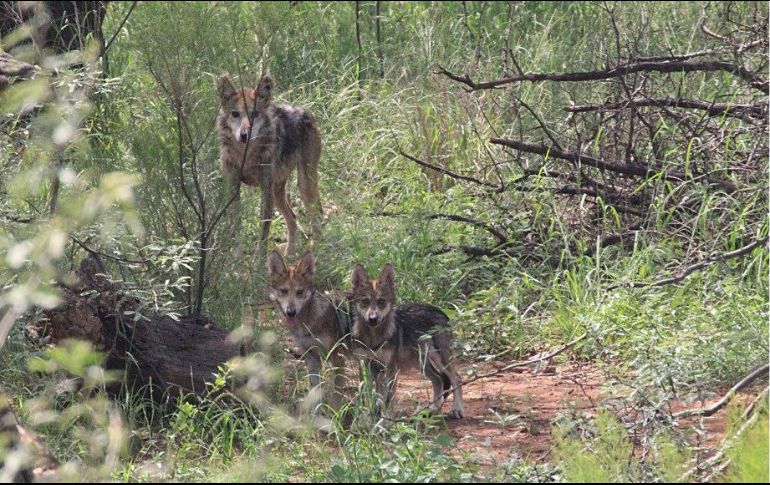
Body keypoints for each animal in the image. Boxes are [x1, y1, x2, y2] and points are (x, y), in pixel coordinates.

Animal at [217, 74, 322, 258]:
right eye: (235, 114)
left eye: (255, 114)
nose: (244, 134)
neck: (246, 156)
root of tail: (304, 111)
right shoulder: (233, 188)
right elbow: (235, 226)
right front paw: (236, 258)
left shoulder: (266, 189)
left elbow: (264, 231)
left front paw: (259, 261)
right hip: (278, 192)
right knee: (293, 218)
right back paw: (289, 254)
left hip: (303, 185)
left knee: (316, 219)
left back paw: (316, 252)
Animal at [266, 250, 350, 411]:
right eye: (283, 291)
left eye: (300, 292)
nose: (290, 312)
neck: (308, 323)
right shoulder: (311, 356)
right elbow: (315, 391)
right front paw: (317, 414)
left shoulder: (338, 358)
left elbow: (336, 397)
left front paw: (336, 416)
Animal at [349, 263, 465, 419]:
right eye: (365, 301)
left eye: (381, 302)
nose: (373, 319)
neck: (373, 338)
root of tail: (439, 310)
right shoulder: (366, 366)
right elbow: (371, 396)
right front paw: (371, 416)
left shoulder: (390, 369)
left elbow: (387, 400)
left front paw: (384, 421)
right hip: (420, 362)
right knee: (438, 379)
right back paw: (433, 409)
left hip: (440, 359)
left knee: (456, 378)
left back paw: (456, 409)